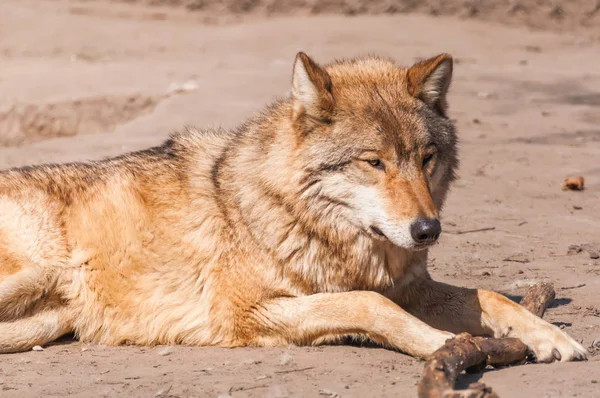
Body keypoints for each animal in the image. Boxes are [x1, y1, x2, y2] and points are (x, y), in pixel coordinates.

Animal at [0, 51, 588, 362]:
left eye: (426, 158)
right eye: (373, 162)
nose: (427, 230)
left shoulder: (411, 286)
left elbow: (492, 296)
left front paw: (553, 338)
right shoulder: (245, 312)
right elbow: (367, 305)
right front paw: (441, 342)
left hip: (49, 319)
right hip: (39, 274)